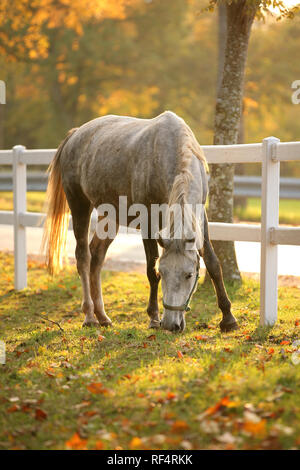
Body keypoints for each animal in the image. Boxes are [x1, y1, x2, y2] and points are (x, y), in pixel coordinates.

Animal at [42, 110, 239, 332]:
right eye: (164, 271)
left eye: (189, 274)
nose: (171, 324)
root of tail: (75, 135)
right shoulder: (148, 222)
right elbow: (151, 271)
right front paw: (153, 318)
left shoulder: (200, 219)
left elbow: (213, 264)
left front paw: (228, 318)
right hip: (79, 206)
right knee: (83, 257)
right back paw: (90, 316)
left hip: (110, 218)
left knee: (96, 258)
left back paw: (103, 316)